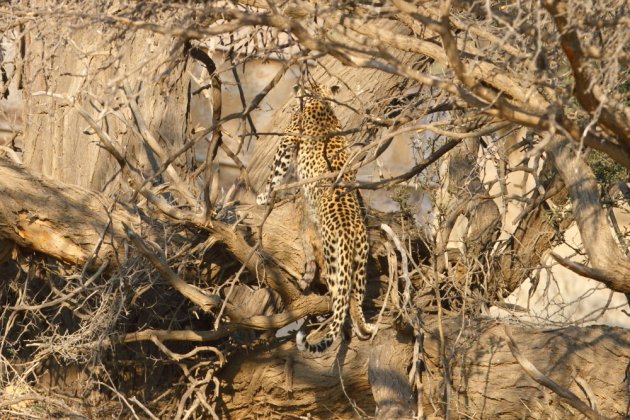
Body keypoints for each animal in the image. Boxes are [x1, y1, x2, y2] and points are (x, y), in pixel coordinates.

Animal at [258, 82, 378, 352]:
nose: (292, 99)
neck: (319, 96)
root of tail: (350, 229)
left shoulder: (288, 140)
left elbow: (275, 173)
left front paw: (262, 197)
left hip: (335, 260)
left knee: (341, 297)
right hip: (360, 262)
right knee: (356, 297)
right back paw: (363, 328)